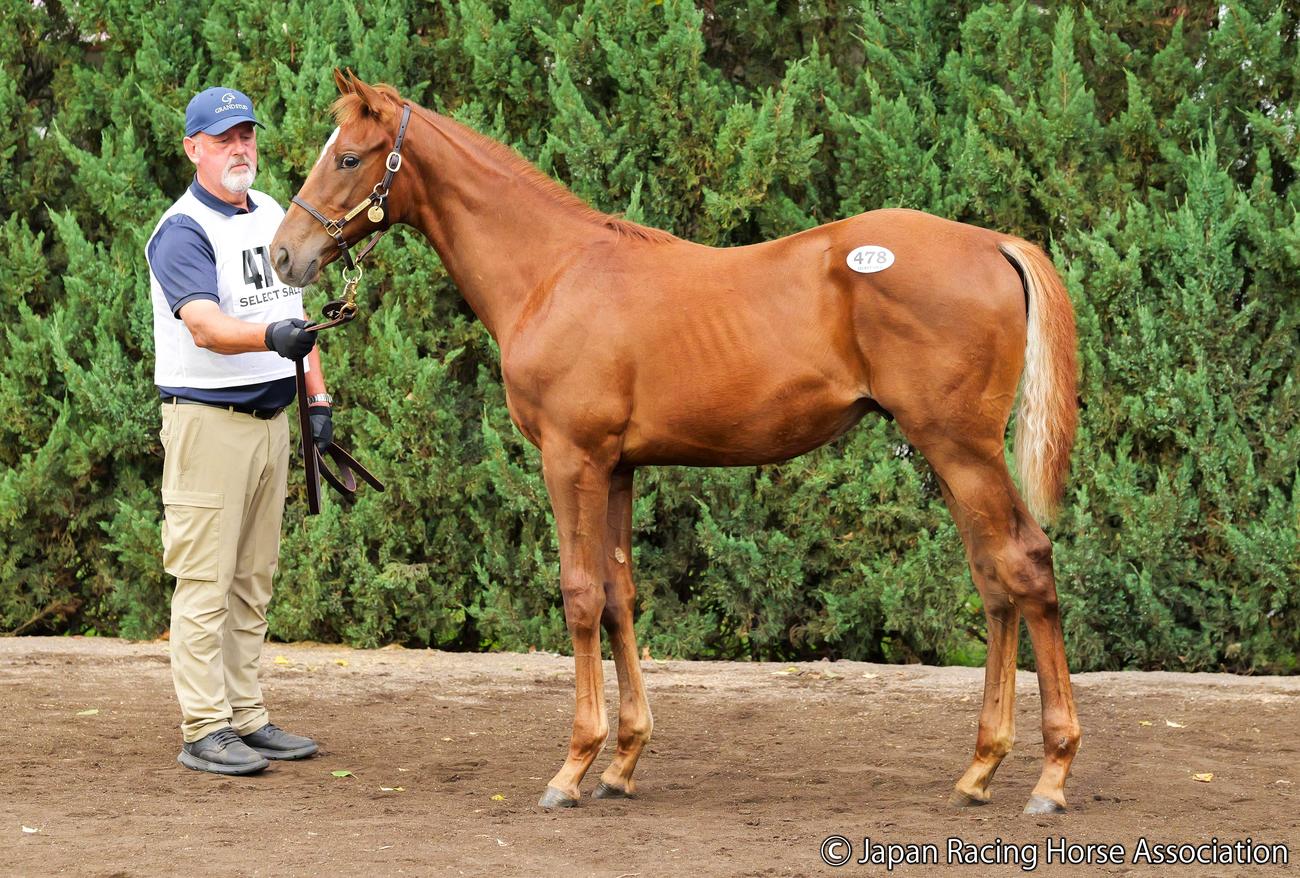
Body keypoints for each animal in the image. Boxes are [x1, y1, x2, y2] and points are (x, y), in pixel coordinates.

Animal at [271, 70, 1082, 815]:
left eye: (349, 156)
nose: (282, 257)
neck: (553, 273)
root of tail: (993, 243)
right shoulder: (618, 468)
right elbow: (620, 597)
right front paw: (624, 762)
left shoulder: (570, 459)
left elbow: (579, 594)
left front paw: (574, 766)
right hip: (949, 456)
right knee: (993, 580)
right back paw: (980, 768)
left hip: (961, 449)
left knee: (1026, 564)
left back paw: (1051, 774)